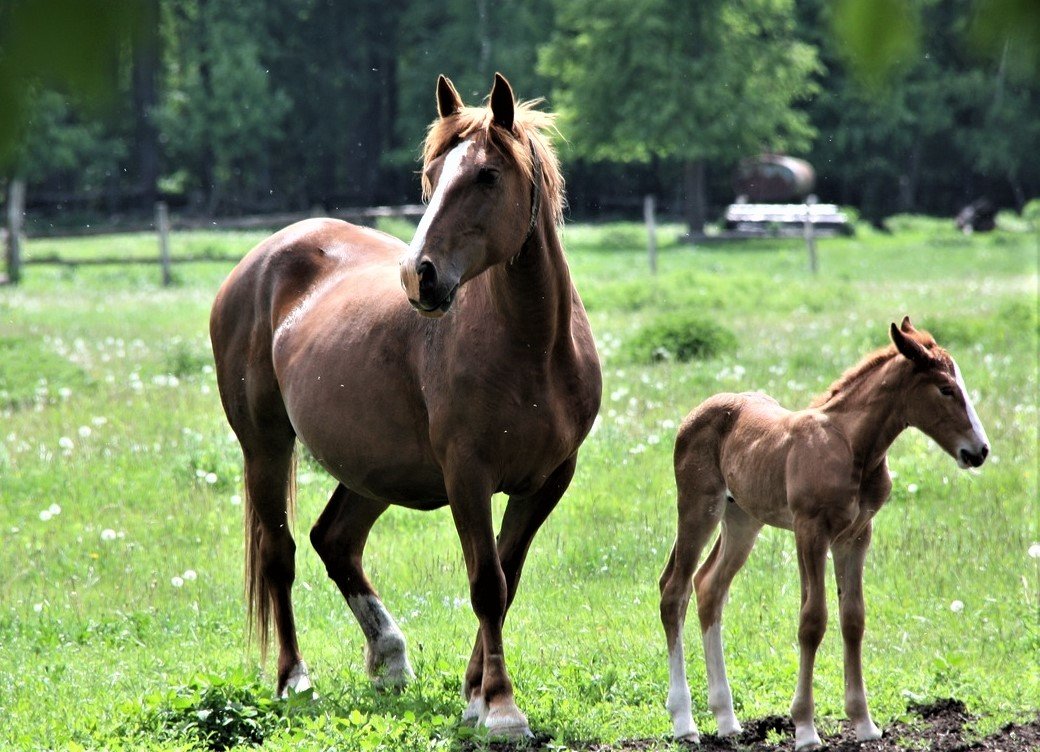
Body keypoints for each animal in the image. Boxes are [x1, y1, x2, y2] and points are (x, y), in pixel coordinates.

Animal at [209, 73, 603, 736]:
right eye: (431, 174)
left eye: (487, 176)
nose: (420, 276)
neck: (534, 349)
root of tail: (260, 260)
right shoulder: (467, 476)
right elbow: (487, 584)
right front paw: (501, 708)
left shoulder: (548, 481)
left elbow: (507, 578)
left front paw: (475, 695)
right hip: (266, 446)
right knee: (280, 554)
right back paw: (295, 681)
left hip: (373, 470)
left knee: (335, 540)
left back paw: (389, 657)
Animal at [661, 318, 985, 748]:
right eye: (946, 389)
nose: (979, 451)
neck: (851, 447)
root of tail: (693, 414)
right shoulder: (810, 531)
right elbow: (812, 620)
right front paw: (805, 728)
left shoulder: (857, 536)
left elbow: (853, 618)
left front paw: (864, 723)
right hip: (699, 506)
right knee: (675, 591)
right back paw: (685, 722)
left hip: (743, 519)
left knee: (709, 587)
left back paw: (727, 720)